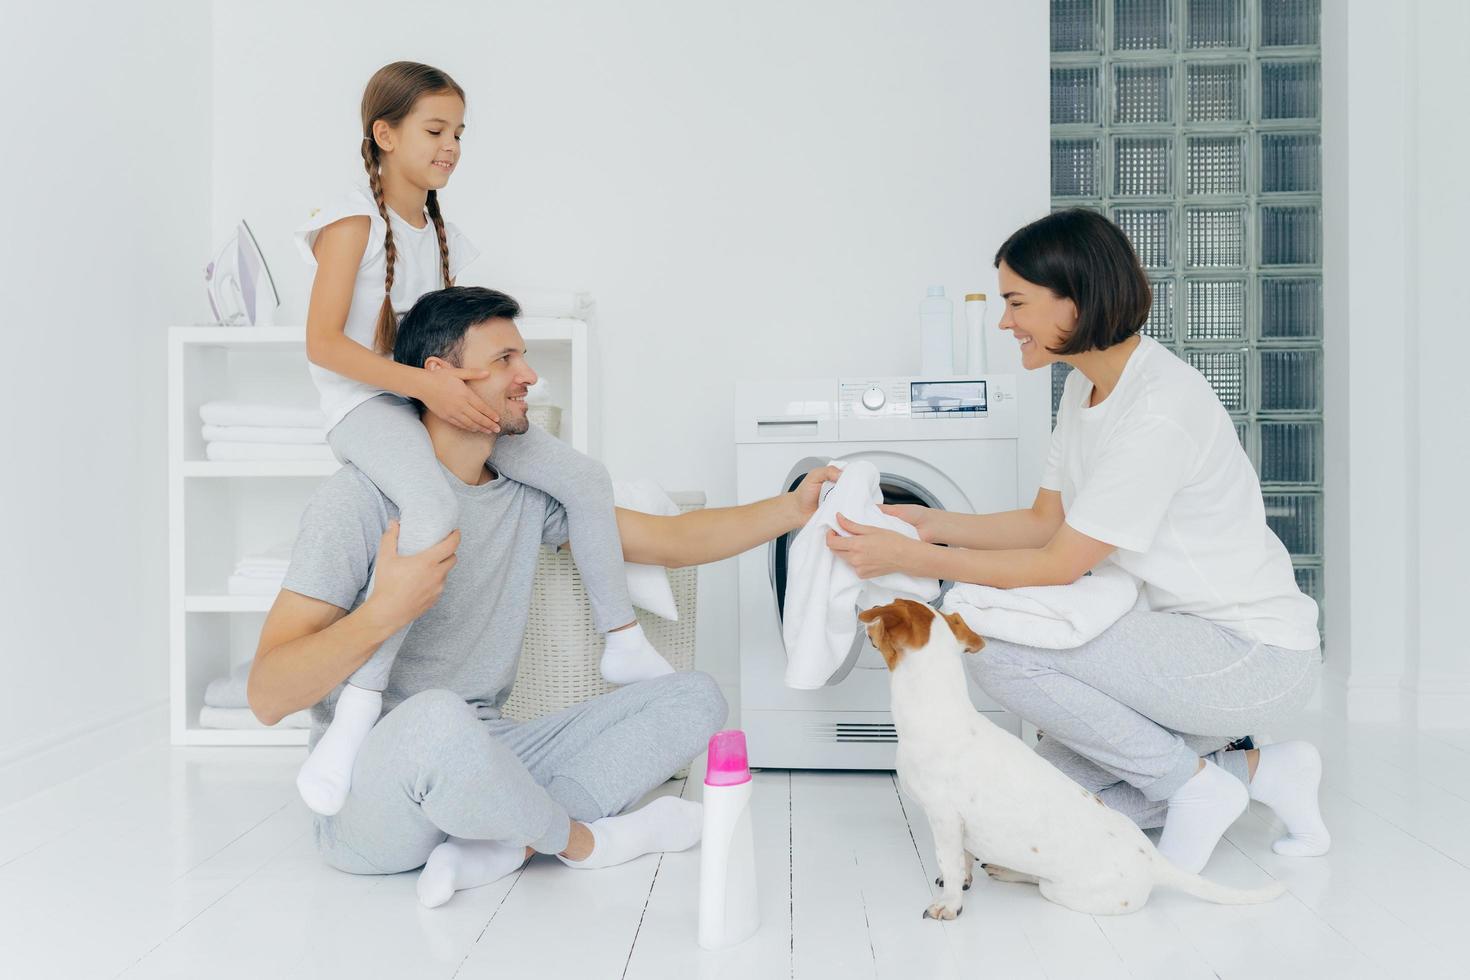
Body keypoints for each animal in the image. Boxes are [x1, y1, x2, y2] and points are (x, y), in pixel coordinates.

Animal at [858, 599, 1287, 922]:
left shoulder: (945, 818)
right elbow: (960, 860)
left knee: (1040, 883)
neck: (938, 709)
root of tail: (1153, 860)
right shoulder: (956, 827)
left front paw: (948, 904)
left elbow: (948, 861)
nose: (861, 617)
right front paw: (962, 880)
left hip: (1061, 891)